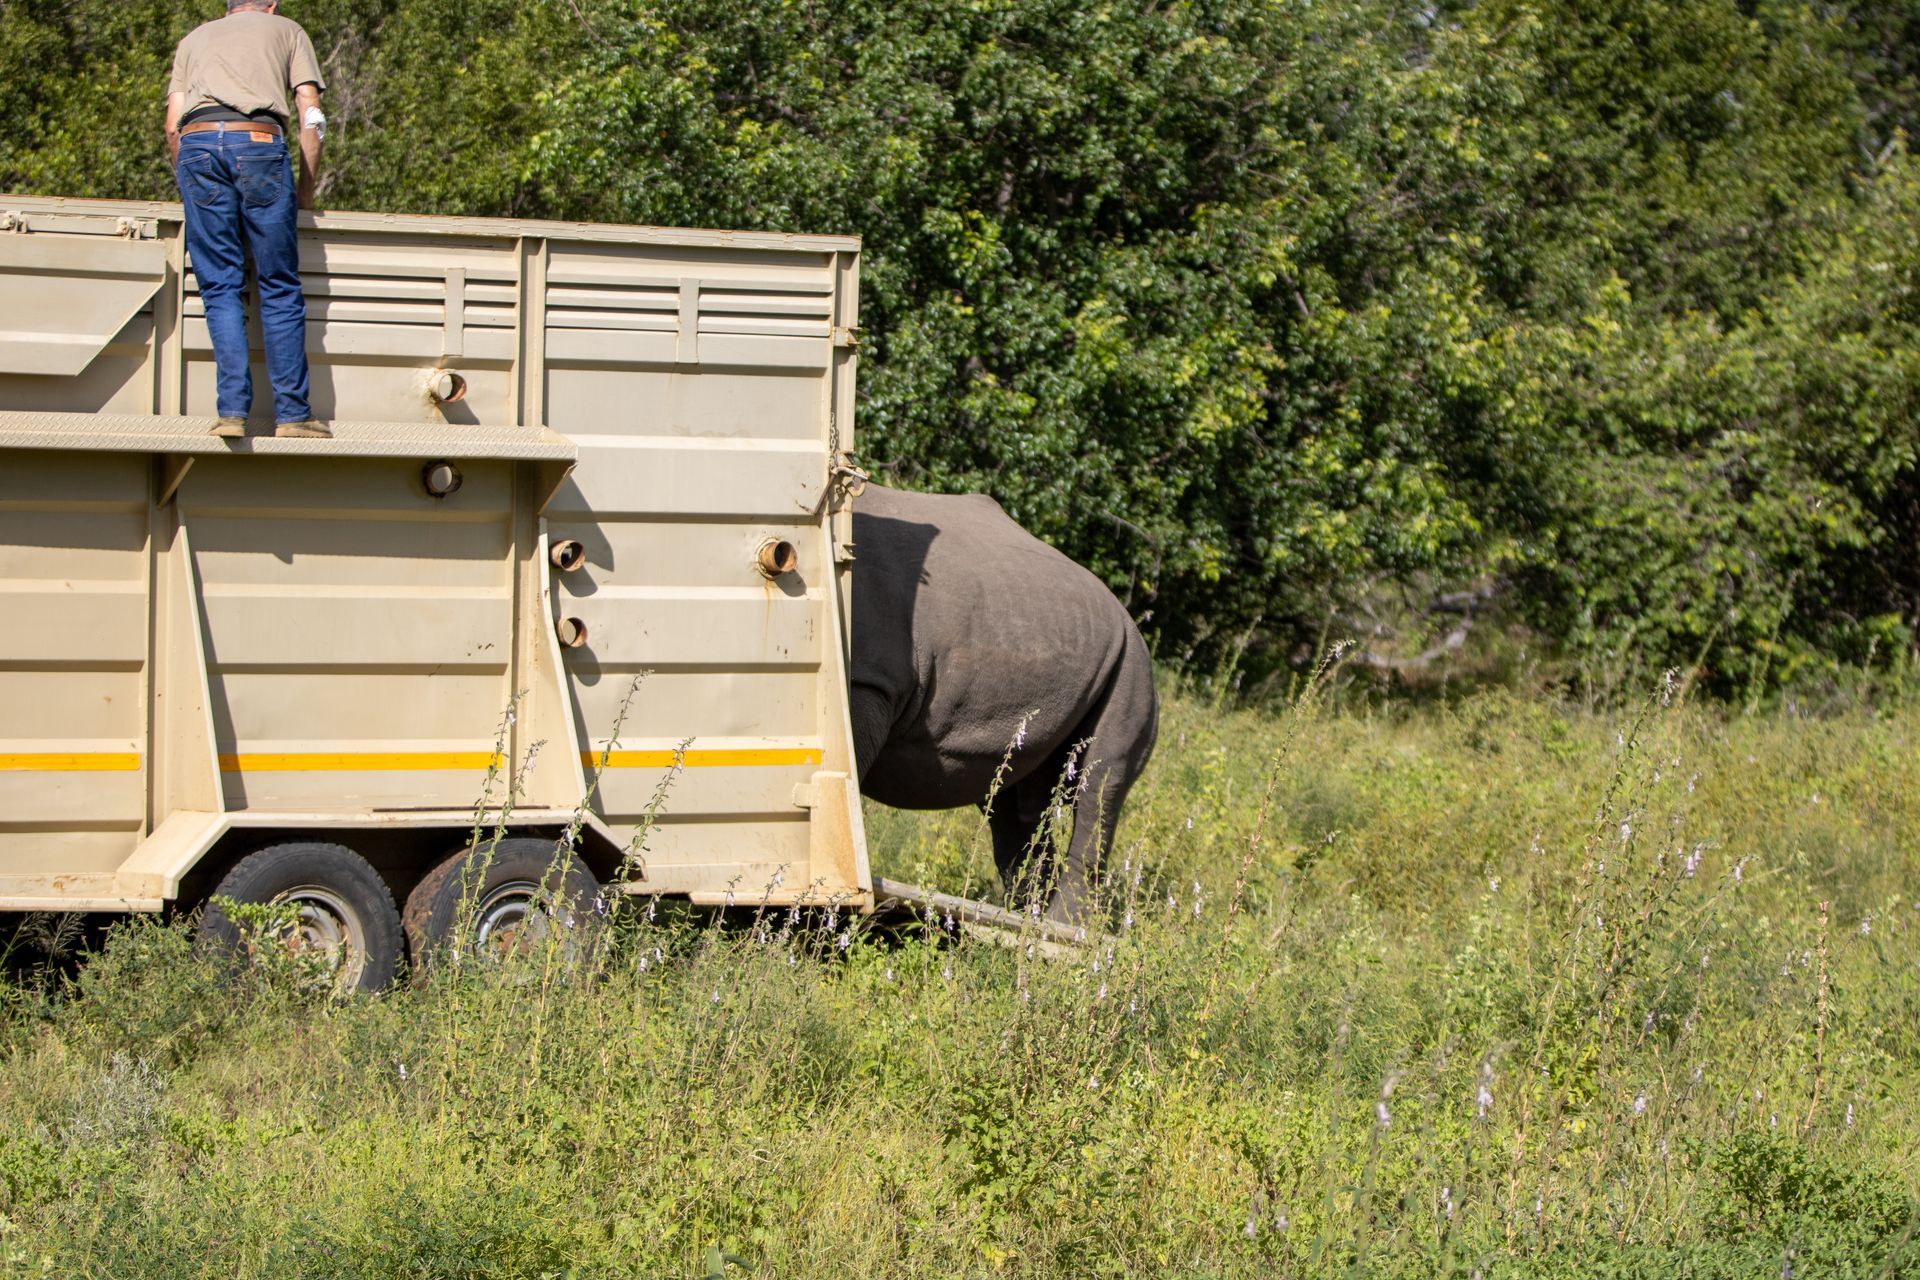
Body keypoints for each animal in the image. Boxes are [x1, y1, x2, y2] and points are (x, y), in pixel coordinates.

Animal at [849, 484, 1159, 922]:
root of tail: (1127, 614)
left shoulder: (868, 678)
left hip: (1132, 663)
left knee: (1098, 787)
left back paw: (1059, 930)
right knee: (1016, 802)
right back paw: (1023, 918)